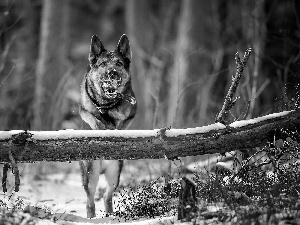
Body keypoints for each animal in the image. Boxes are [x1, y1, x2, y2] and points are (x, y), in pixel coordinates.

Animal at [79, 34, 137, 218]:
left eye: (119, 63)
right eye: (103, 64)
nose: (112, 73)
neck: (107, 104)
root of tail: (103, 166)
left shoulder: (131, 114)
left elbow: (122, 125)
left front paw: (115, 131)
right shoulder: (83, 110)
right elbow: (93, 118)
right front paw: (101, 128)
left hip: (115, 173)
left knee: (107, 195)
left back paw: (111, 215)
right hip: (91, 174)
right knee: (90, 199)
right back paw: (91, 217)